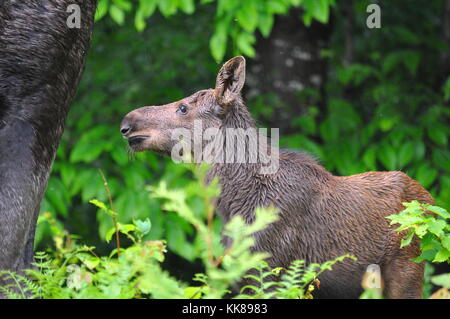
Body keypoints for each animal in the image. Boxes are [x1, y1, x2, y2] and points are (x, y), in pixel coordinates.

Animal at [121, 56, 434, 298]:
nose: (127, 123)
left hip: (406, 269)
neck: (232, 203)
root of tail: (431, 201)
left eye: (183, 108)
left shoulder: (271, 269)